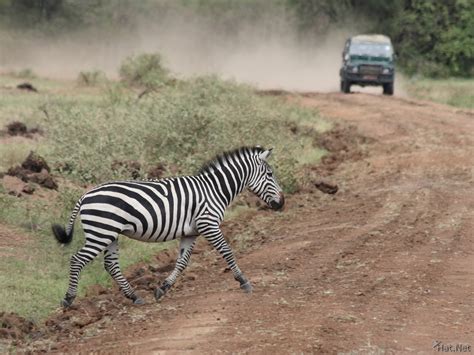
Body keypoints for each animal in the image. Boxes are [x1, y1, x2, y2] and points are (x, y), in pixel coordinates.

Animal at [54, 146, 286, 308]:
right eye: (270, 175)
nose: (282, 203)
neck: (214, 189)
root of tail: (85, 195)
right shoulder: (208, 223)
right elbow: (227, 251)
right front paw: (243, 281)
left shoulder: (191, 232)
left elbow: (182, 262)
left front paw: (162, 289)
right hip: (101, 232)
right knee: (77, 260)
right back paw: (68, 299)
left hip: (110, 234)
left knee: (111, 265)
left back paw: (135, 296)